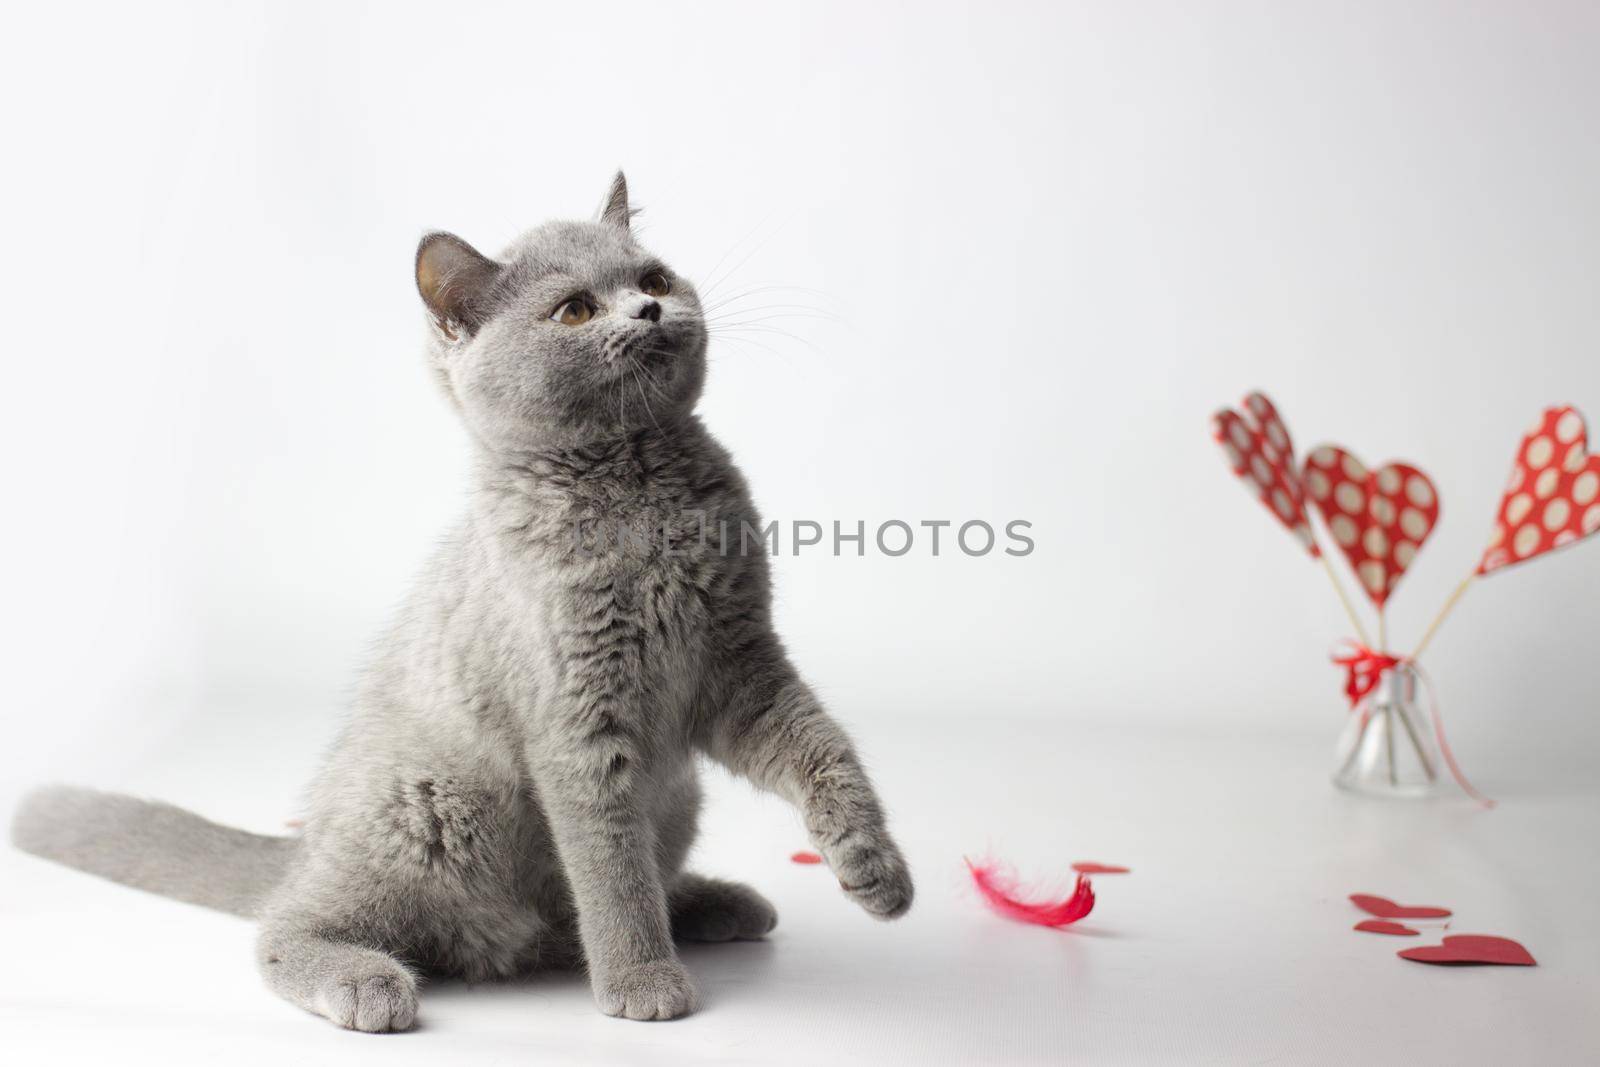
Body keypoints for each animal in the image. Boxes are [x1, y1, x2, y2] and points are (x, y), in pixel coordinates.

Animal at [9, 171, 915, 1030]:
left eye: (653, 276)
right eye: (576, 309)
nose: (653, 308)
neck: (636, 488)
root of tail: (305, 848)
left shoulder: (738, 662)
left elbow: (822, 748)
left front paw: (875, 869)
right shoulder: (578, 721)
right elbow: (609, 863)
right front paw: (640, 980)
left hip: (677, 789)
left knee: (595, 898)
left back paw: (713, 900)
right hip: (428, 809)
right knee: (284, 924)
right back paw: (368, 980)